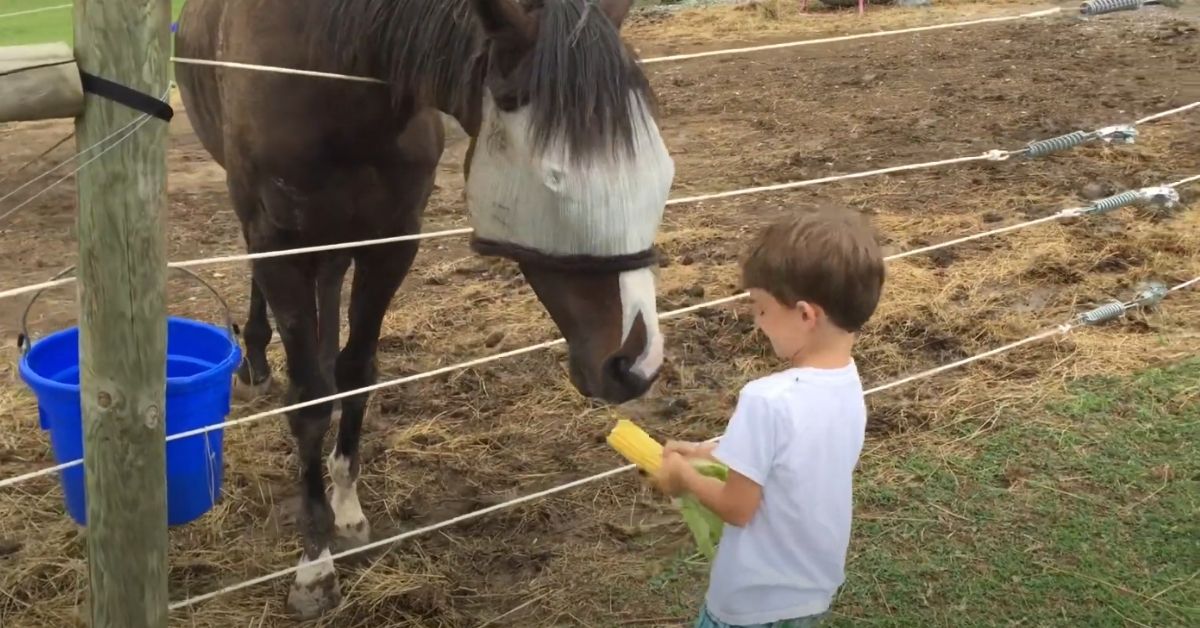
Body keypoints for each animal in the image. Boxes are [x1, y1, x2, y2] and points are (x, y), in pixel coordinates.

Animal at [172, 0, 676, 619]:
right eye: (554, 179)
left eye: (663, 172)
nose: (636, 366)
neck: (334, 68)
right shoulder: (278, 244)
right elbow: (309, 401)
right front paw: (314, 565)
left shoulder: (392, 241)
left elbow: (356, 373)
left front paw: (346, 507)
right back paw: (258, 361)